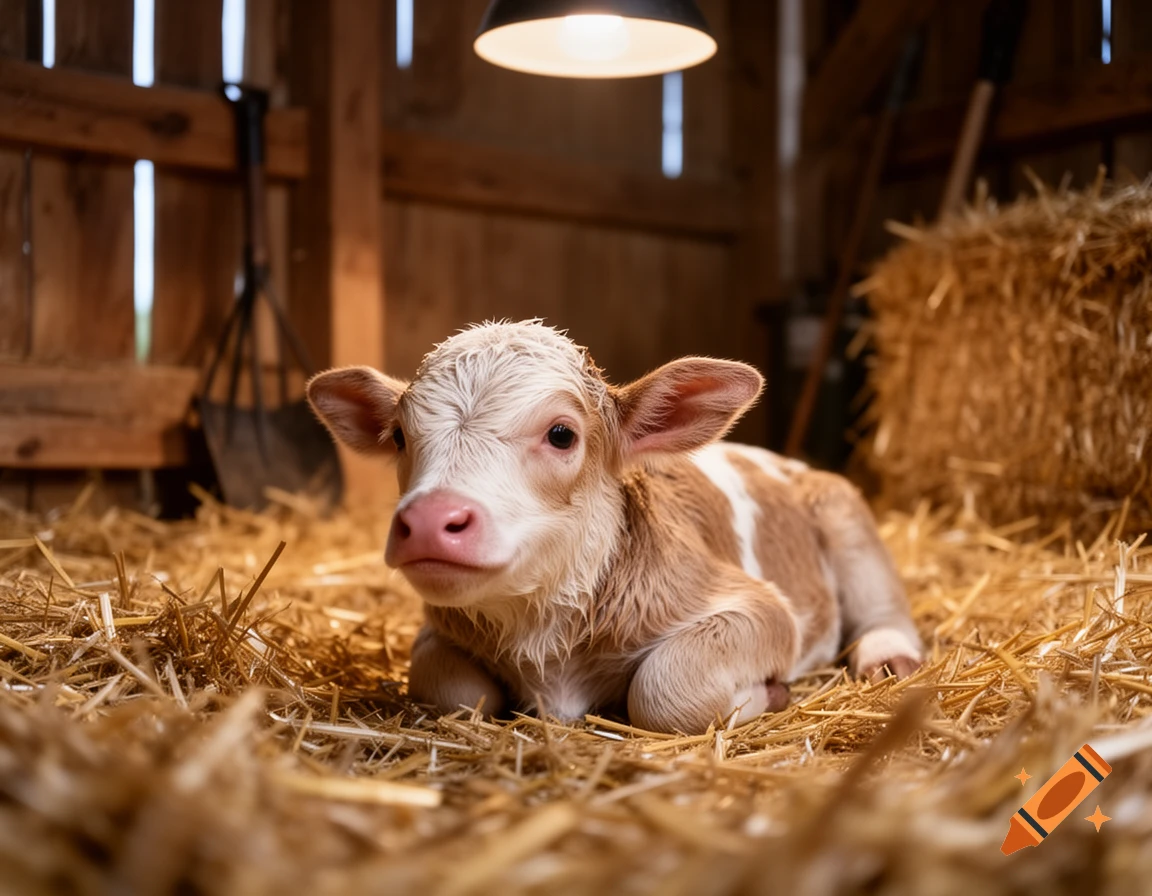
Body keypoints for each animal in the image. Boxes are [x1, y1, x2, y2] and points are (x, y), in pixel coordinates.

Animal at [306, 320, 921, 734]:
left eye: (561, 434)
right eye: (400, 437)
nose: (432, 519)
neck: (547, 644)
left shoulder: (763, 608)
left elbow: (664, 689)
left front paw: (766, 694)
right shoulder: (440, 628)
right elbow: (453, 690)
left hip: (844, 512)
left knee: (883, 608)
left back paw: (889, 657)